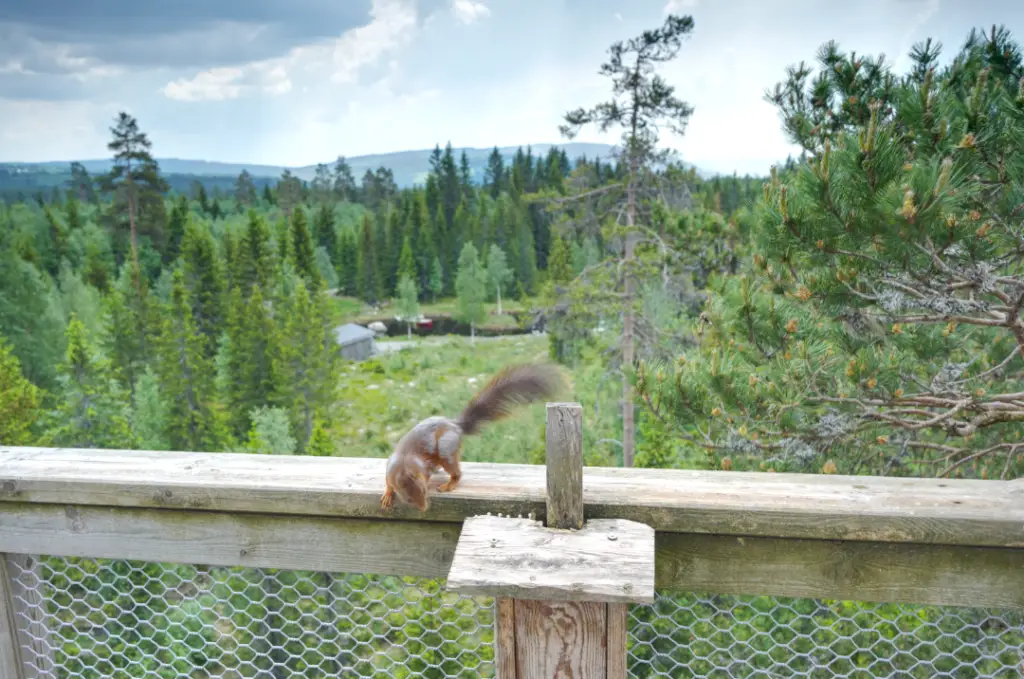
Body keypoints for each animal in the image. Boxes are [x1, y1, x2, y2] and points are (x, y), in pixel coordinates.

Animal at [380, 364, 565, 512]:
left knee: (456, 473)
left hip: (446, 450)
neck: (404, 463)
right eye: (408, 499)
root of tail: (456, 426)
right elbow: (389, 483)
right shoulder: (390, 469)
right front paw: (388, 494)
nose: (424, 508)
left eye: (424, 490)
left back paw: (449, 484)